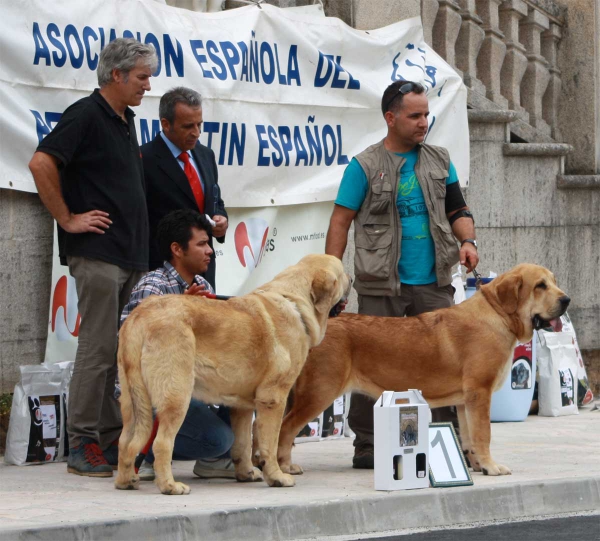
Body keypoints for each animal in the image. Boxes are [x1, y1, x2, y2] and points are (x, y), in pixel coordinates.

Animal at [114, 253, 350, 494]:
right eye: (342, 274)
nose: (351, 278)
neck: (295, 301)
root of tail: (139, 316)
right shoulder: (273, 399)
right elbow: (269, 442)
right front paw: (276, 476)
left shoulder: (242, 406)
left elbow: (243, 443)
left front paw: (246, 473)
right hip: (177, 397)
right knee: (161, 442)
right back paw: (170, 485)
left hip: (132, 400)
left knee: (125, 441)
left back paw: (126, 481)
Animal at [276, 264, 568, 474]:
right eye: (540, 286)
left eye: (554, 281)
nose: (567, 300)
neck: (498, 315)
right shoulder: (480, 393)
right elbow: (483, 434)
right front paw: (491, 467)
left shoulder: (465, 401)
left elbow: (470, 438)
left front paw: (476, 466)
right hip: (319, 393)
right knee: (286, 428)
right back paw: (284, 466)